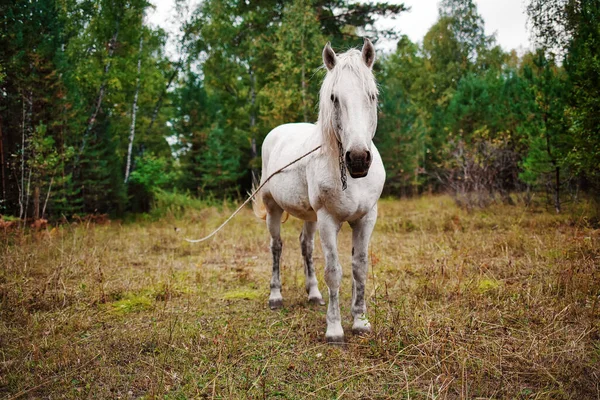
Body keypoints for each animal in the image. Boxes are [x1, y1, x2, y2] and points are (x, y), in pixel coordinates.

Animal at [252, 39, 384, 342]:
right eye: (334, 98)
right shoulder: (328, 220)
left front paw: (360, 321)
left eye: (372, 96)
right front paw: (334, 329)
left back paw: (313, 294)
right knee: (276, 246)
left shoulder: (366, 218)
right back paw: (275, 297)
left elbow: (360, 268)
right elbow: (334, 271)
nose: (358, 159)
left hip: (310, 217)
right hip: (274, 209)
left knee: (306, 246)